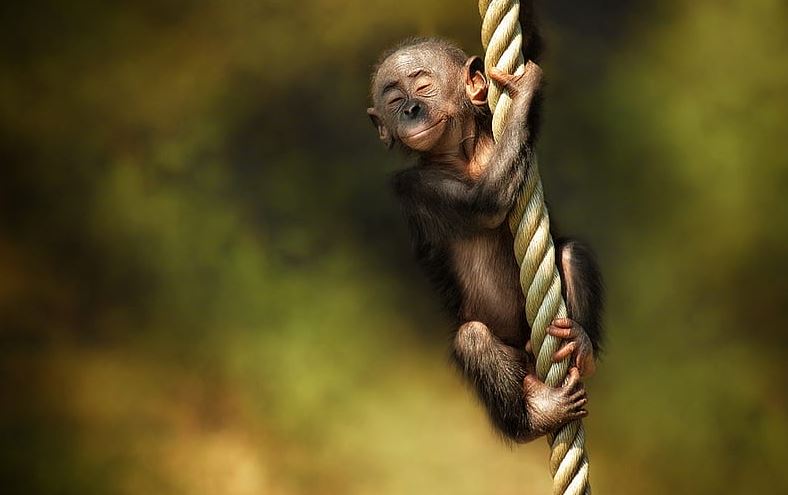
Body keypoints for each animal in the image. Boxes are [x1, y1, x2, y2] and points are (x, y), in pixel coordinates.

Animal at [366, 37, 604, 443]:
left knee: (572, 254)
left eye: (423, 86)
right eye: (394, 99)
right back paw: (537, 415)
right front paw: (522, 92)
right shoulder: (413, 187)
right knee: (472, 339)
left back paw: (580, 344)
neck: (461, 156)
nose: (411, 109)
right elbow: (486, 202)